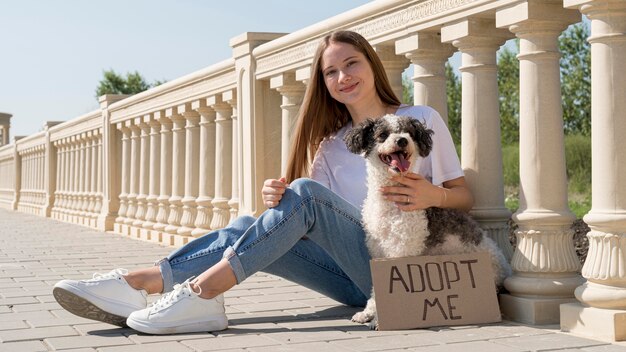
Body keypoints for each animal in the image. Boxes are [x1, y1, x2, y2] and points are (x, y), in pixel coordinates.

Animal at [344, 114, 510, 328]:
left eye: (409, 132)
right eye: (383, 134)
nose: (402, 140)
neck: (390, 203)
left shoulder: (401, 250)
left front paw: (380, 319)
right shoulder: (378, 250)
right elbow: (375, 287)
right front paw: (368, 313)